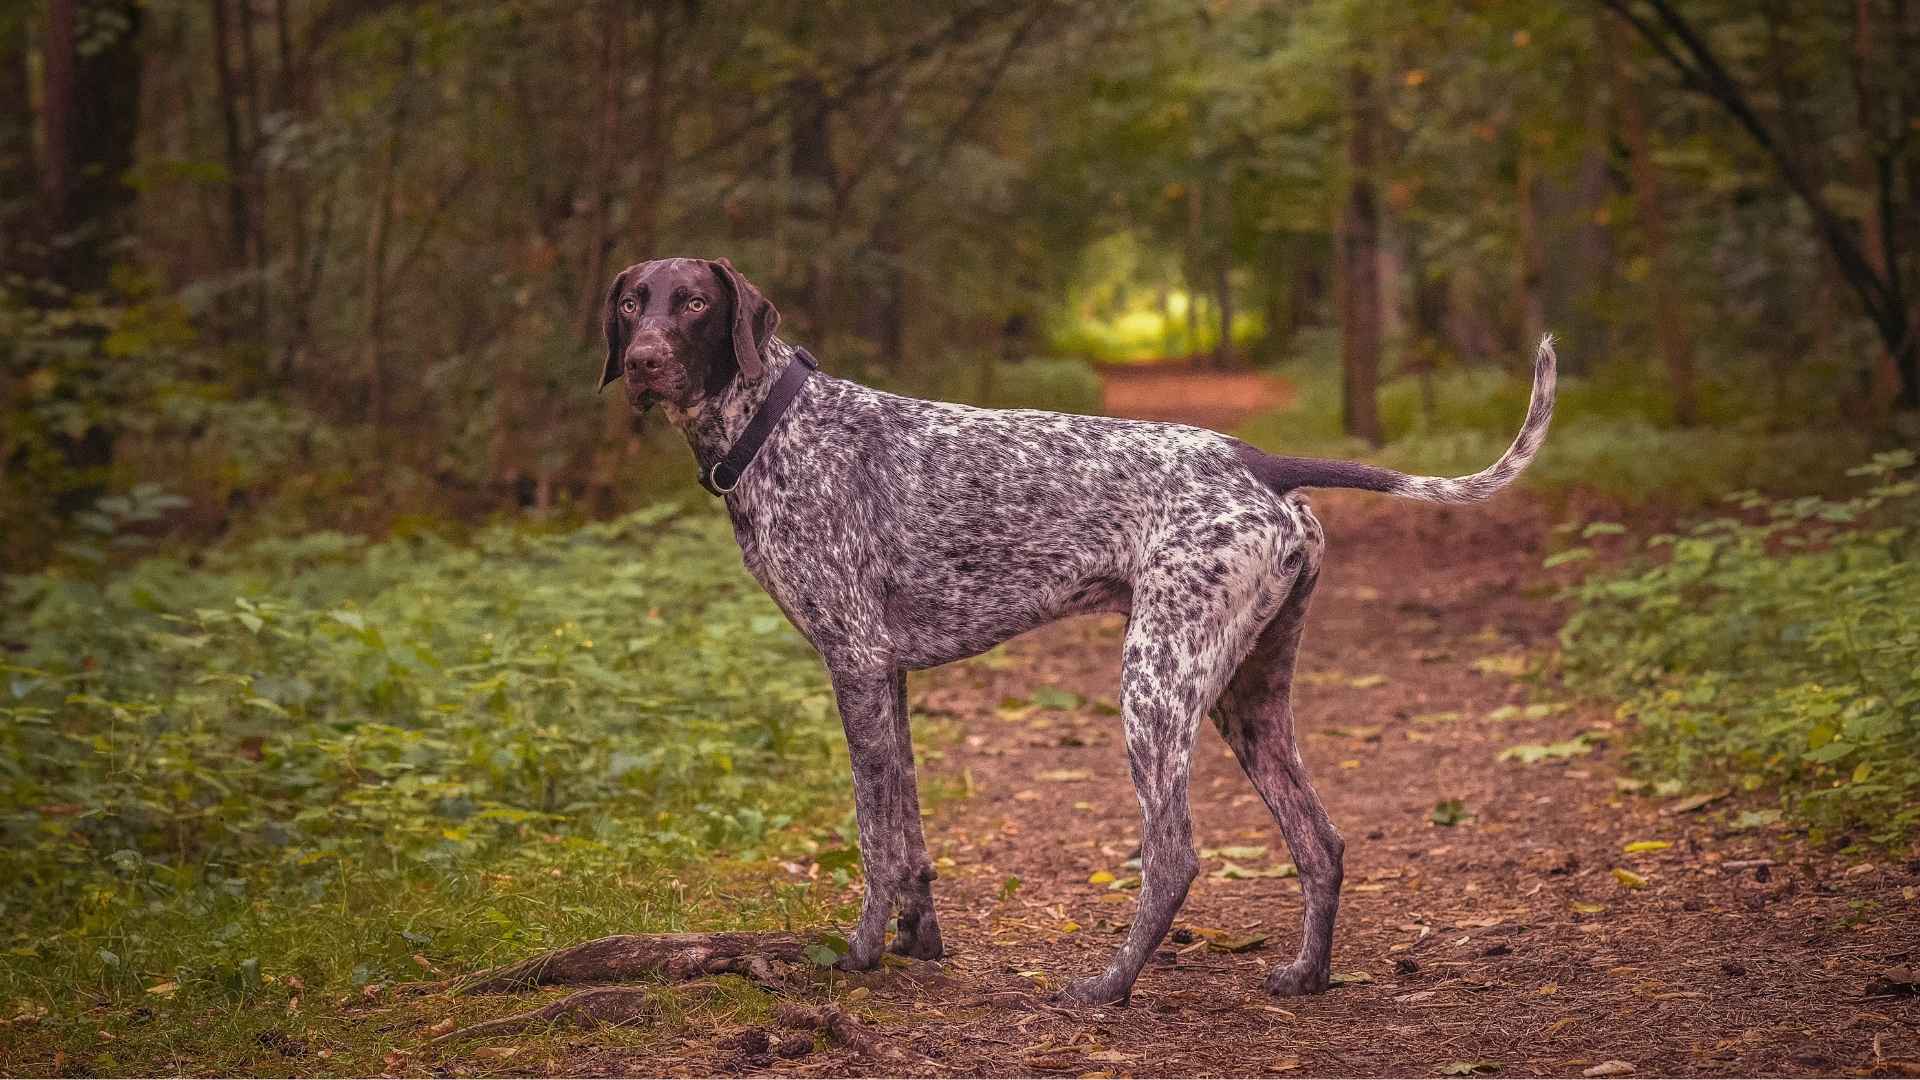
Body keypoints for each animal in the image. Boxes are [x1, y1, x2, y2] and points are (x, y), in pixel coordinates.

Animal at [606, 253, 1551, 999]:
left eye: (694, 303)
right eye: (631, 303)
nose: (644, 361)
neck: (777, 426)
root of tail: (1258, 462)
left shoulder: (856, 662)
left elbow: (877, 841)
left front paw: (863, 956)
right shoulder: (888, 679)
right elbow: (911, 837)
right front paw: (920, 945)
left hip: (1155, 684)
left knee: (1173, 857)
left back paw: (1110, 985)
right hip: (1249, 698)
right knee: (1320, 842)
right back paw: (1306, 975)